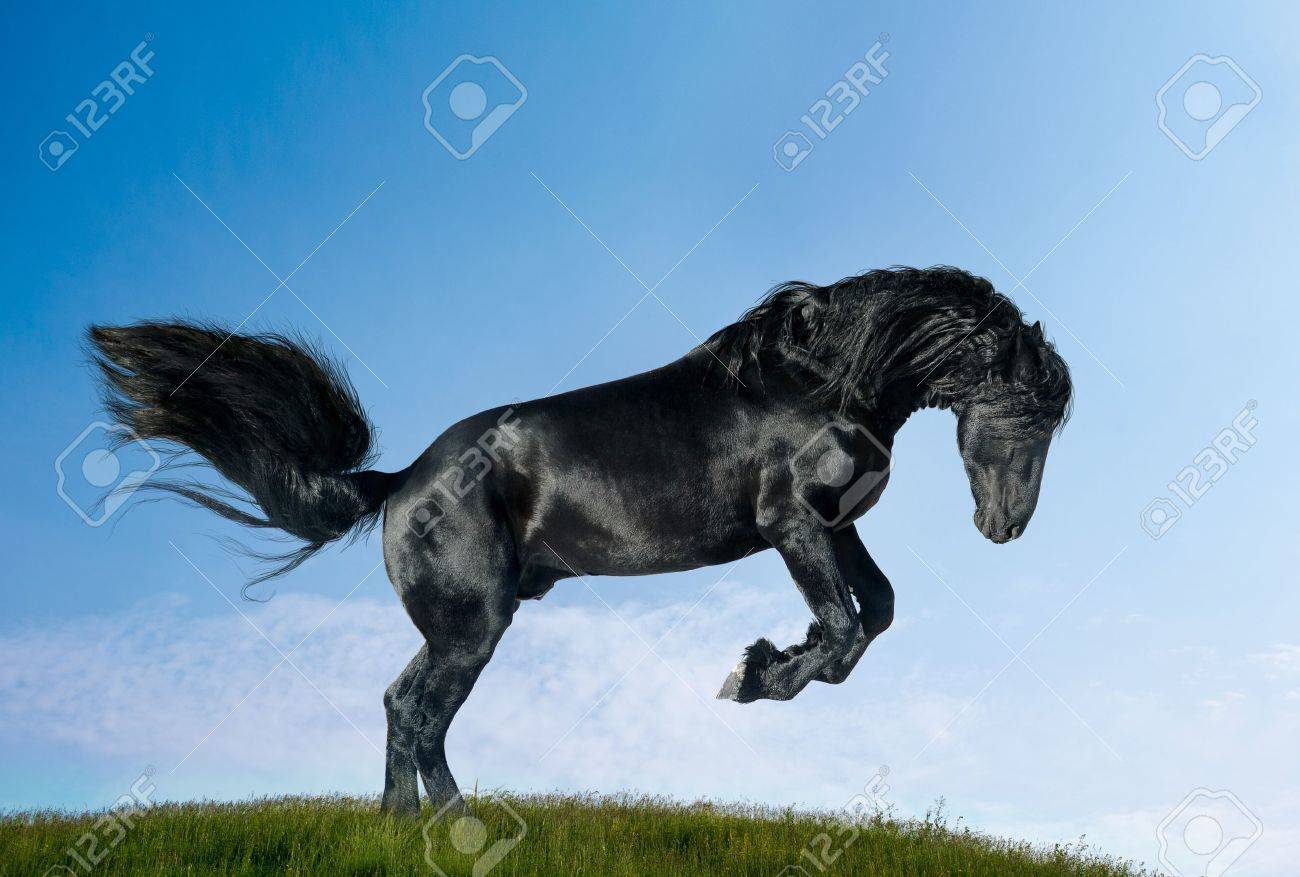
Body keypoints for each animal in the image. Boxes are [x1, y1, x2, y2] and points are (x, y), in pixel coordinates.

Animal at [88, 265, 1072, 817]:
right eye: (1030, 413)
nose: (1008, 526)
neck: (815, 381)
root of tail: (401, 481)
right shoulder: (791, 524)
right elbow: (838, 630)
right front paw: (753, 674)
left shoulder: (838, 524)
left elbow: (874, 616)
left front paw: (766, 662)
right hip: (473, 626)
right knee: (421, 714)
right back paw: (458, 824)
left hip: (457, 626)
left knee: (399, 705)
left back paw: (395, 825)